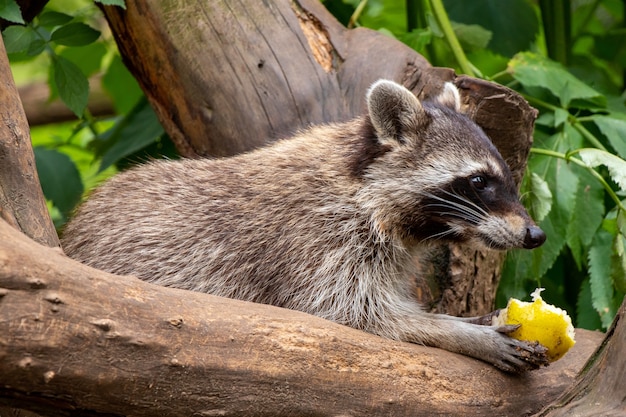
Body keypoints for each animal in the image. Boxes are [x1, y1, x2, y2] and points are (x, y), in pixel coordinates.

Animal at [59, 79, 544, 372]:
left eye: (506, 175)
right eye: (479, 181)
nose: (535, 235)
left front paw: (470, 318)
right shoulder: (314, 241)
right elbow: (357, 315)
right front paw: (457, 331)